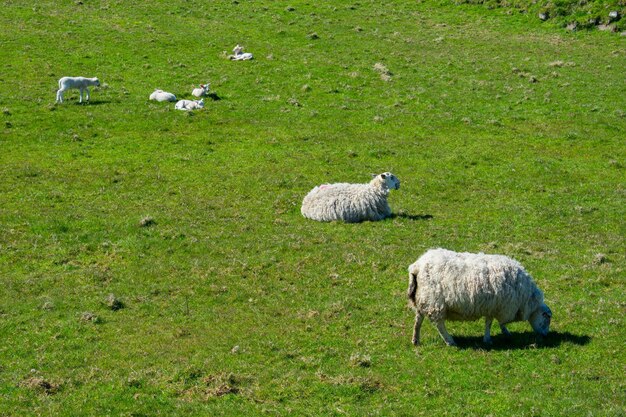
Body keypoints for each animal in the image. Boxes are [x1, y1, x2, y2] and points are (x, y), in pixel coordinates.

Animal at [410, 249, 552, 346]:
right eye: (547, 318)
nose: (546, 335)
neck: (526, 298)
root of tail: (416, 267)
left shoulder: (494, 306)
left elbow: (494, 322)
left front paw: (504, 333)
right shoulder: (499, 306)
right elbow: (492, 323)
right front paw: (490, 339)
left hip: (423, 298)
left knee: (418, 320)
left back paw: (416, 340)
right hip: (434, 303)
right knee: (439, 324)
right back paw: (450, 341)